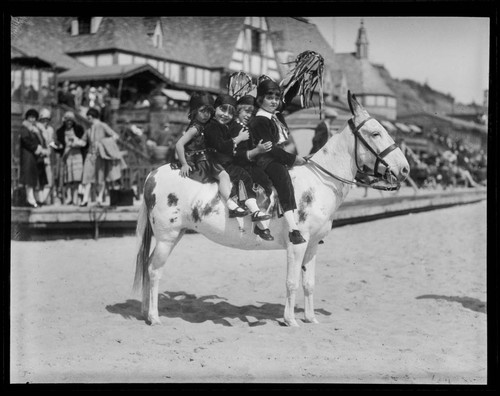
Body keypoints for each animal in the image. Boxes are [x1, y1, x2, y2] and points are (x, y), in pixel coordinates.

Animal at [134, 92, 410, 324]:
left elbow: (309, 283)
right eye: (375, 133)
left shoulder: (313, 246)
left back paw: (145, 312)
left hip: (174, 235)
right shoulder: (297, 245)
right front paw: (290, 320)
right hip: (167, 237)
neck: (318, 181)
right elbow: (291, 282)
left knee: (148, 267)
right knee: (154, 271)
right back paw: (154, 317)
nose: (405, 169)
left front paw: (310, 318)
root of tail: (152, 174)